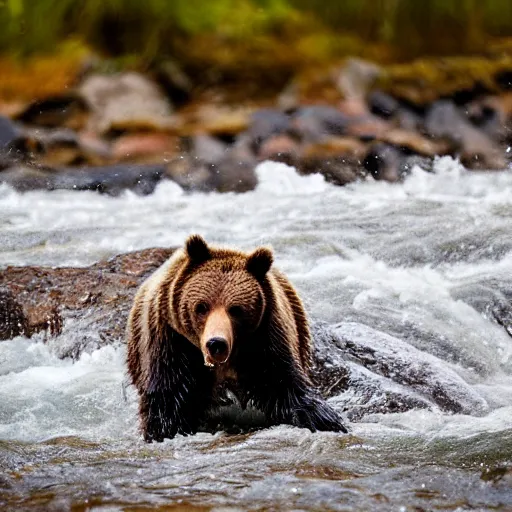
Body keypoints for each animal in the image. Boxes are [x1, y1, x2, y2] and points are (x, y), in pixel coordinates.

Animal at [126, 235, 348, 440]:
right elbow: (169, 398)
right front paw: (165, 429)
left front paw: (325, 419)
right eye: (202, 307)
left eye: (236, 309)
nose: (216, 343)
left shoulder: (267, 337)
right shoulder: (170, 341)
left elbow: (285, 385)